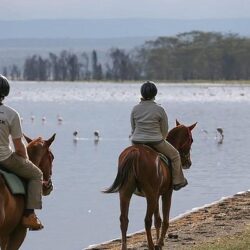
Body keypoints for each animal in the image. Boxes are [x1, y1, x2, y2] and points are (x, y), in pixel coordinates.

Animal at [102, 120, 196, 249]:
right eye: (191, 140)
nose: (188, 163)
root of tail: (135, 152)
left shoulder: (156, 195)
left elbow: (158, 220)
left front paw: (159, 242)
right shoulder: (167, 193)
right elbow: (165, 220)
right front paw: (159, 243)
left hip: (125, 193)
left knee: (124, 220)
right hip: (150, 195)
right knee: (147, 220)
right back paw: (151, 245)